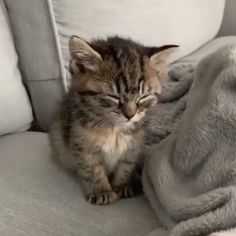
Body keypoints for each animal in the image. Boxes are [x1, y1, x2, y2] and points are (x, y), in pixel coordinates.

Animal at [49, 35, 177, 205]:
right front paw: (102, 191)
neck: (114, 129)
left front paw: (122, 186)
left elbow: (126, 165)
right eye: (113, 96)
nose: (130, 115)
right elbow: (92, 168)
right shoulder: (81, 143)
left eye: (143, 97)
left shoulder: (133, 145)